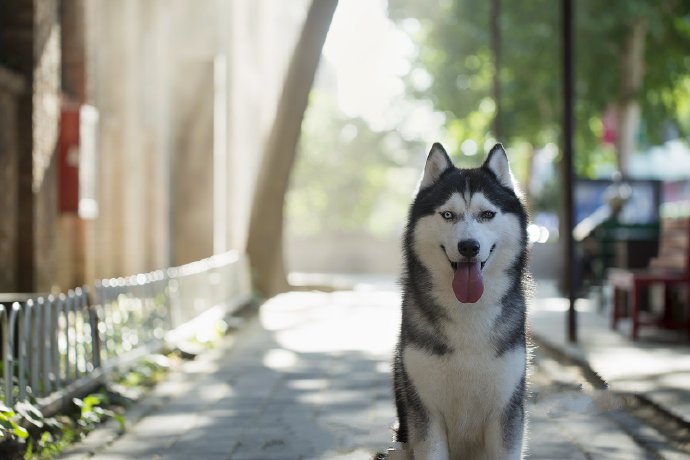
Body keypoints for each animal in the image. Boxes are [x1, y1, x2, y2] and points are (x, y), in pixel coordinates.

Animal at [390, 144, 528, 460]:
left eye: (487, 214)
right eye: (448, 215)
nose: (469, 247)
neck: (469, 313)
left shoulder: (505, 415)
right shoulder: (426, 415)